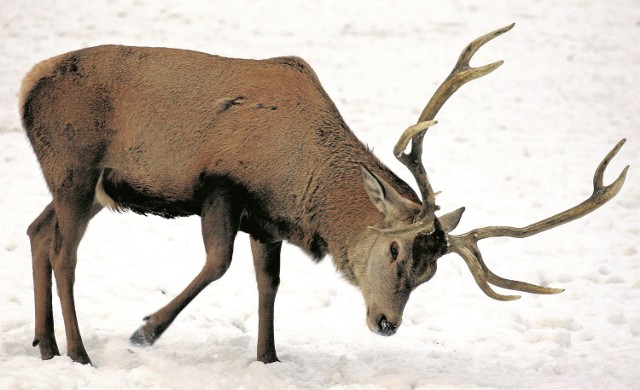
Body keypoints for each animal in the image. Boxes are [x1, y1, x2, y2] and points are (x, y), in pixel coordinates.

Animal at [21, 23, 632, 366]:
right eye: (395, 249)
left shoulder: (266, 219)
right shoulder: (221, 186)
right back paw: (79, 352)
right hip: (75, 167)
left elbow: (269, 285)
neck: (301, 183)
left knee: (36, 231)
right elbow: (217, 265)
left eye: (430, 272)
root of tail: (27, 85)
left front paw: (269, 357)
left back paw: (44, 343)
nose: (387, 323)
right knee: (64, 252)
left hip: (86, 186)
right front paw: (145, 331)